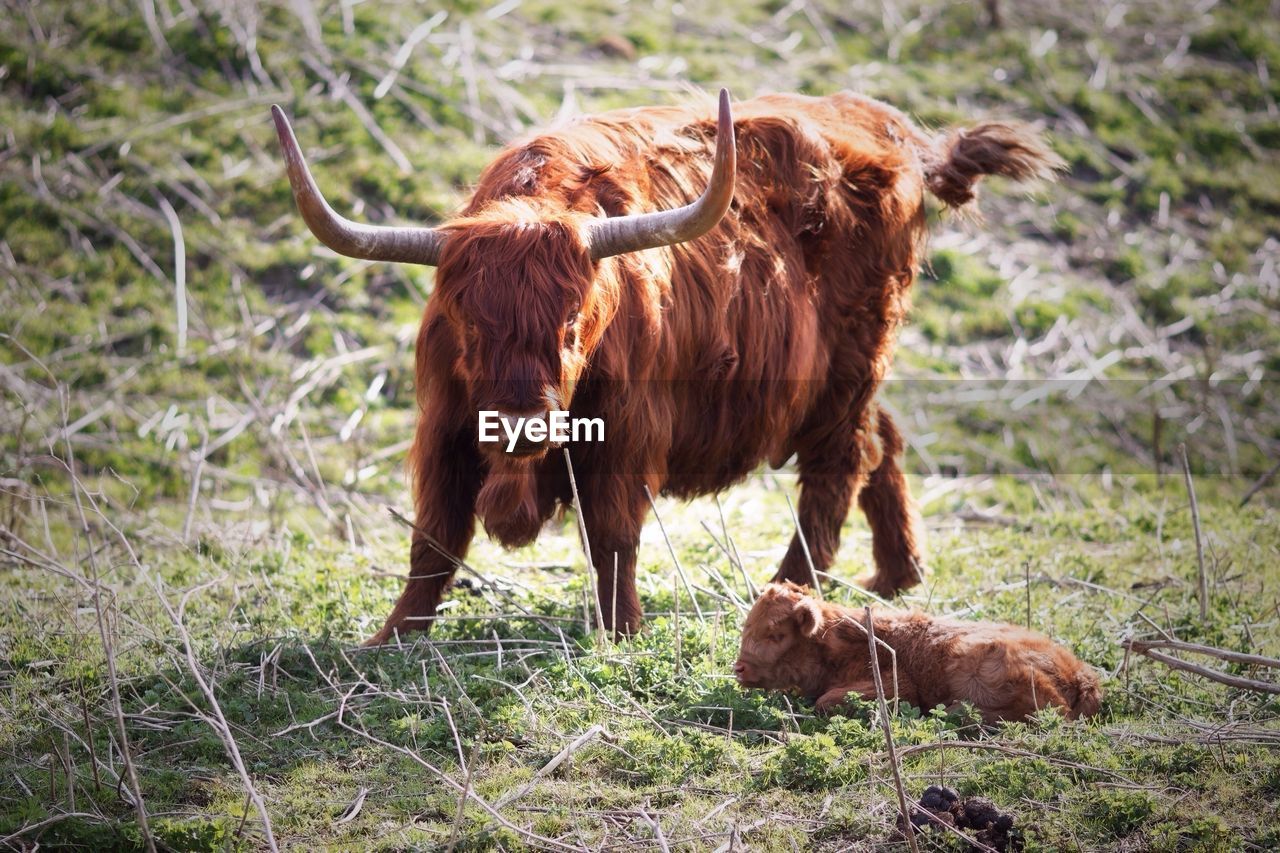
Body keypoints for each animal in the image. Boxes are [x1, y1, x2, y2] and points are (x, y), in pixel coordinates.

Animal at [275, 89, 1064, 640]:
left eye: (571, 324)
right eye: (471, 323)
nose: (524, 427)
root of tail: (893, 132)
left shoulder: (628, 433)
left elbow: (613, 534)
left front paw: (620, 630)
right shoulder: (443, 430)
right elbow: (434, 538)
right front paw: (392, 637)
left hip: (851, 363)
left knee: (838, 467)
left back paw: (788, 589)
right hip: (849, 377)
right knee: (884, 439)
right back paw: (898, 574)